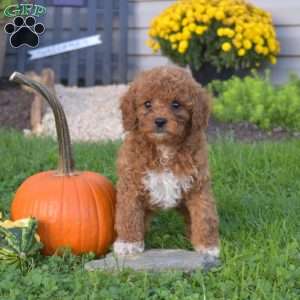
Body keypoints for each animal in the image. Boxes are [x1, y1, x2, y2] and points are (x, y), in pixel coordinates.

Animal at [113, 67, 219, 258]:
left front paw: (207, 246)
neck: (164, 147)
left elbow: (205, 215)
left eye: (176, 104)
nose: (160, 121)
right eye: (147, 104)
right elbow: (128, 214)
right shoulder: (131, 183)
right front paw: (128, 243)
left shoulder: (198, 185)